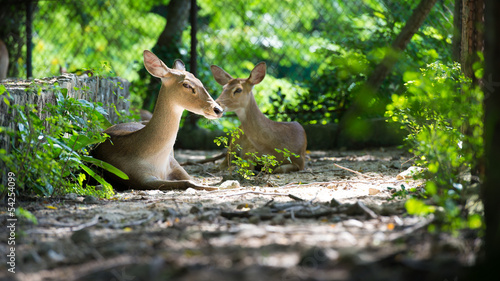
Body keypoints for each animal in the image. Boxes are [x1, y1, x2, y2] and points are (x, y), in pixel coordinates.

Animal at [91, 50, 223, 190]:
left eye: (199, 81)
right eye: (186, 84)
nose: (218, 109)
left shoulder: (173, 163)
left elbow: (190, 179)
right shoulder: (136, 177)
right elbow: (186, 182)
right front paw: (216, 187)